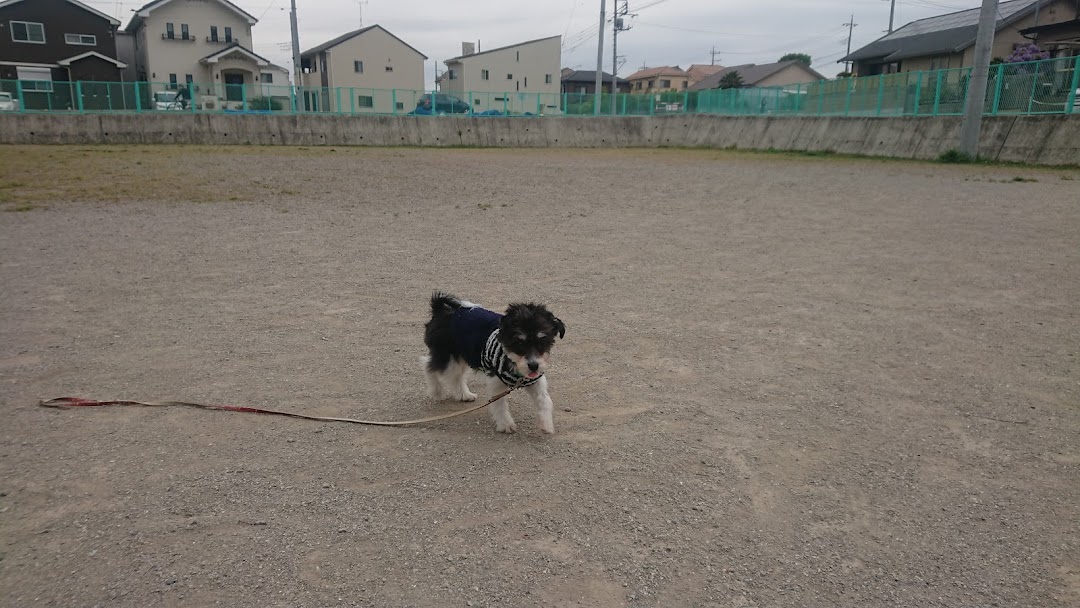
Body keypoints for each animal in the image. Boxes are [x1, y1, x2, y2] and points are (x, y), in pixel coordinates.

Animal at [423, 293, 565, 431]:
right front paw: (506, 425)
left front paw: (546, 423)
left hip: (461, 357)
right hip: (448, 358)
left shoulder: (534, 380)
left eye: (543, 341)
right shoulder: (496, 382)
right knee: (428, 366)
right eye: (519, 343)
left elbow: (545, 399)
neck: (515, 364)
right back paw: (437, 392)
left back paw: (464, 395)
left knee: (456, 376)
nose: (534, 366)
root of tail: (441, 310)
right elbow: (500, 405)